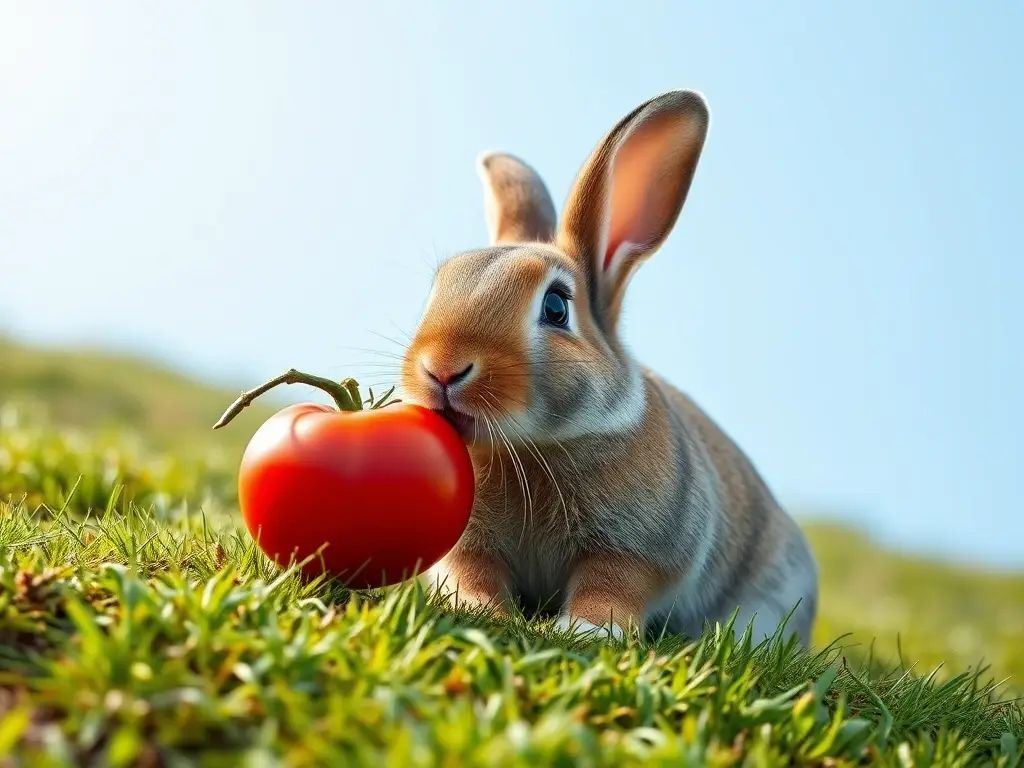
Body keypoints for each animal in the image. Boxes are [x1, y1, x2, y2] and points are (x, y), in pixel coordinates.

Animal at [398, 89, 819, 647]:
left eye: (556, 307)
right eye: (439, 285)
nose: (442, 369)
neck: (531, 448)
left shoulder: (635, 550)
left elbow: (612, 585)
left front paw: (587, 629)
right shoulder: (470, 549)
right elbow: (474, 575)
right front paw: (481, 612)